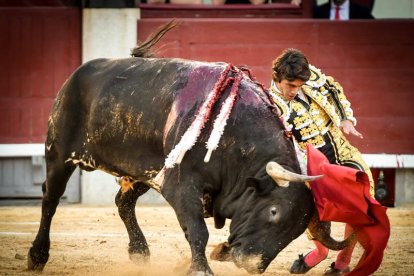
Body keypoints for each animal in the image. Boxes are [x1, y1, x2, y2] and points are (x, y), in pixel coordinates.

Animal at [27, 22, 350, 276]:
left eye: (296, 231)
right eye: (273, 212)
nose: (253, 264)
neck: (236, 136)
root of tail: (77, 74)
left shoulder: (171, 177)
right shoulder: (181, 185)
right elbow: (197, 230)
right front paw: (200, 268)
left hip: (146, 170)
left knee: (123, 202)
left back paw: (139, 252)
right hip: (59, 153)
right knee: (50, 199)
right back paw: (37, 256)